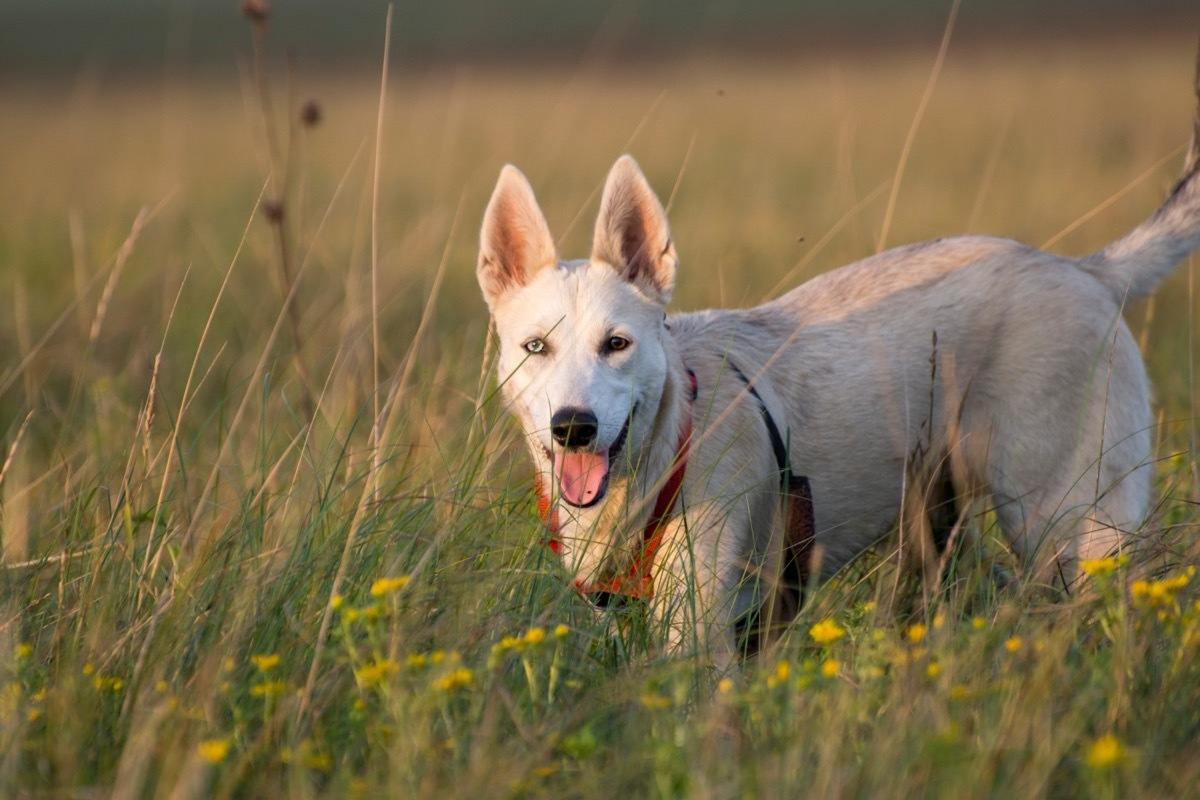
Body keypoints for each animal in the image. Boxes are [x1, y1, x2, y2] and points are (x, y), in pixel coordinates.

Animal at [472, 67, 1200, 662]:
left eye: (616, 345)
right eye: (536, 347)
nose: (574, 427)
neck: (666, 451)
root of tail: (1085, 269)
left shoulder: (697, 634)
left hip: (1068, 524)